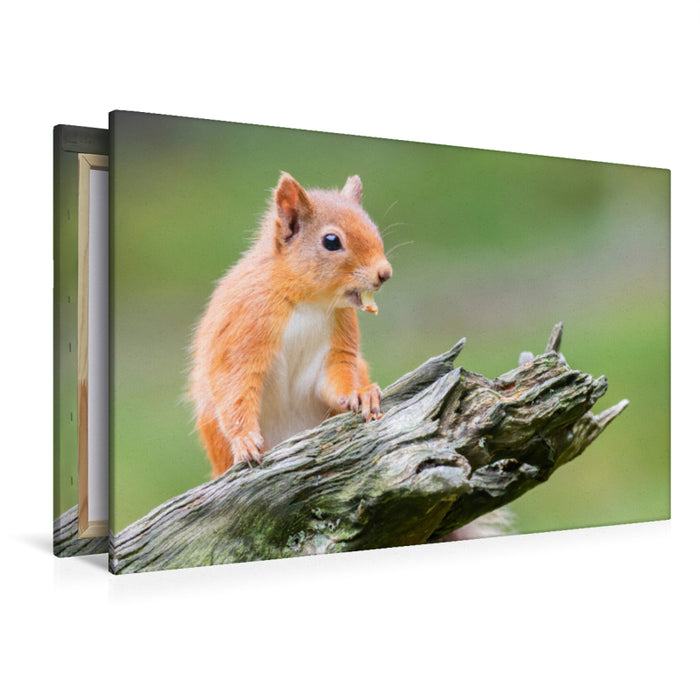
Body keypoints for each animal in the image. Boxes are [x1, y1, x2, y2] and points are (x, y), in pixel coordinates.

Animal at [190, 172, 392, 477]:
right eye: (331, 241)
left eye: (373, 227)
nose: (385, 273)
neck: (306, 302)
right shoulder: (244, 326)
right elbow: (235, 386)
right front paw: (244, 440)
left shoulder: (337, 341)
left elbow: (338, 376)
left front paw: (361, 394)